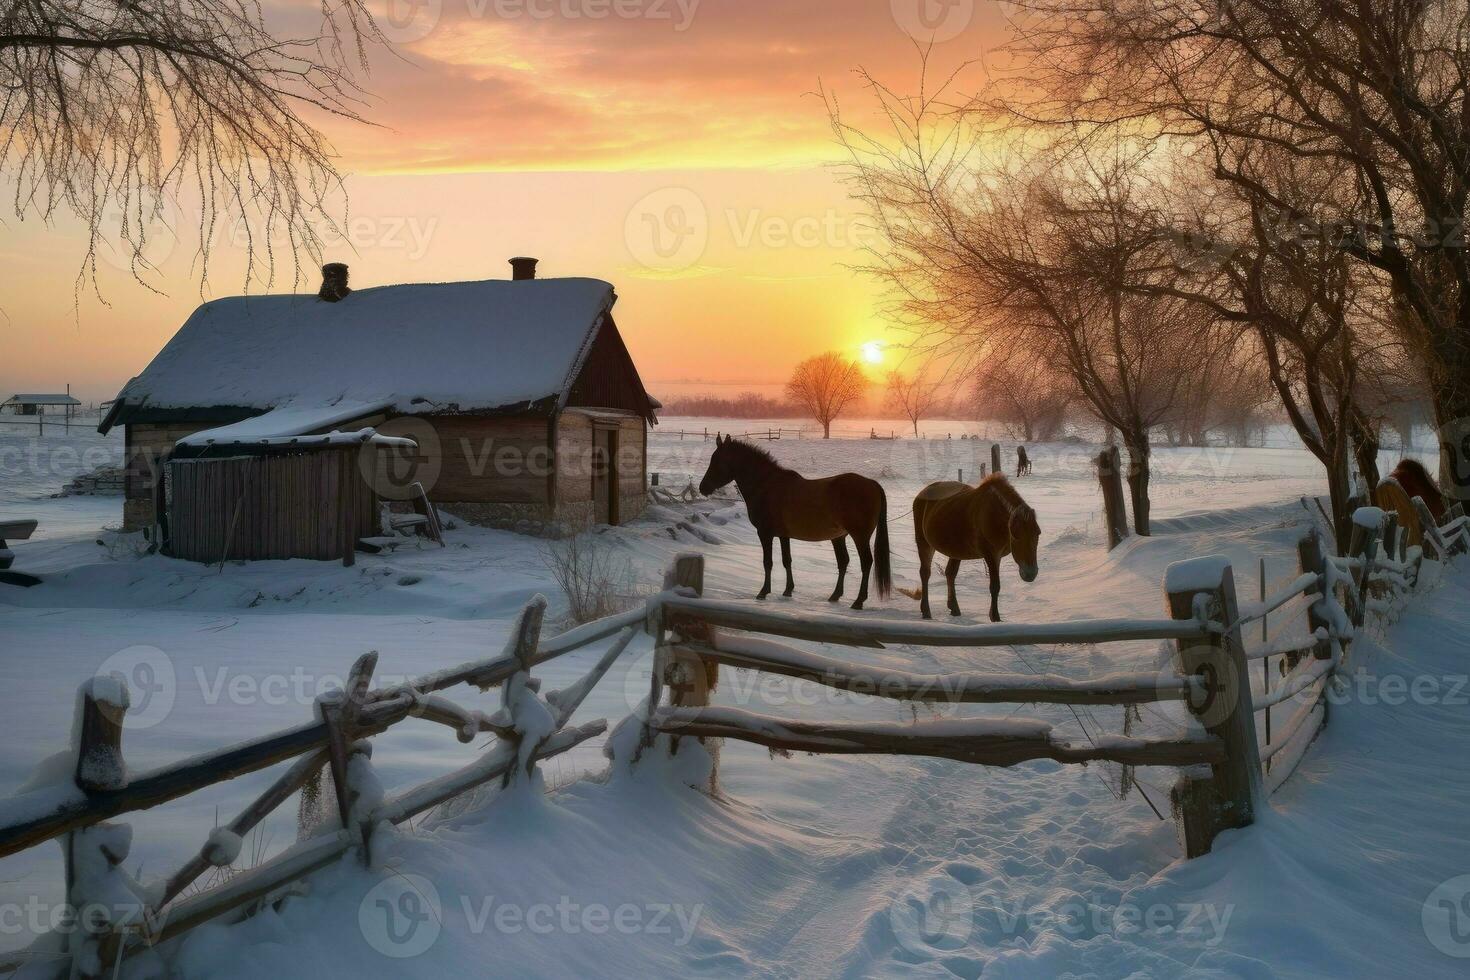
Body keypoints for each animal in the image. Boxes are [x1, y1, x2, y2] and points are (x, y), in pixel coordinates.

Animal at [699, 434, 893, 605]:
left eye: (717, 461)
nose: (703, 488)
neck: (767, 486)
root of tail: (872, 484)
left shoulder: (765, 533)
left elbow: (768, 562)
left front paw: (763, 592)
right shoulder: (783, 535)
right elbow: (787, 561)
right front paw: (788, 590)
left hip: (859, 537)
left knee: (866, 563)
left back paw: (858, 601)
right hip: (838, 537)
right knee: (843, 562)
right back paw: (835, 596)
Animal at [899, 473, 1040, 620]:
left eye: (1038, 533)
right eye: (1016, 535)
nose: (1031, 573)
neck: (995, 514)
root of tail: (922, 494)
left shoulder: (997, 556)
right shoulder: (990, 554)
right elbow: (995, 586)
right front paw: (995, 617)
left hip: (955, 550)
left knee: (950, 573)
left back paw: (954, 608)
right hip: (923, 543)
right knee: (925, 573)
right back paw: (926, 611)